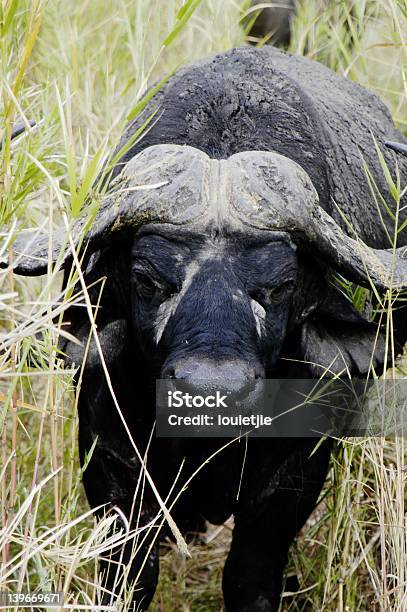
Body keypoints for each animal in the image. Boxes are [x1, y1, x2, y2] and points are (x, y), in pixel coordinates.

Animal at [7, 47, 407, 612]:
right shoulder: (109, 456)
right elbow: (129, 575)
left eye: (282, 285)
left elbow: (249, 575)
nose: (212, 390)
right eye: (146, 278)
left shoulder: (298, 470)